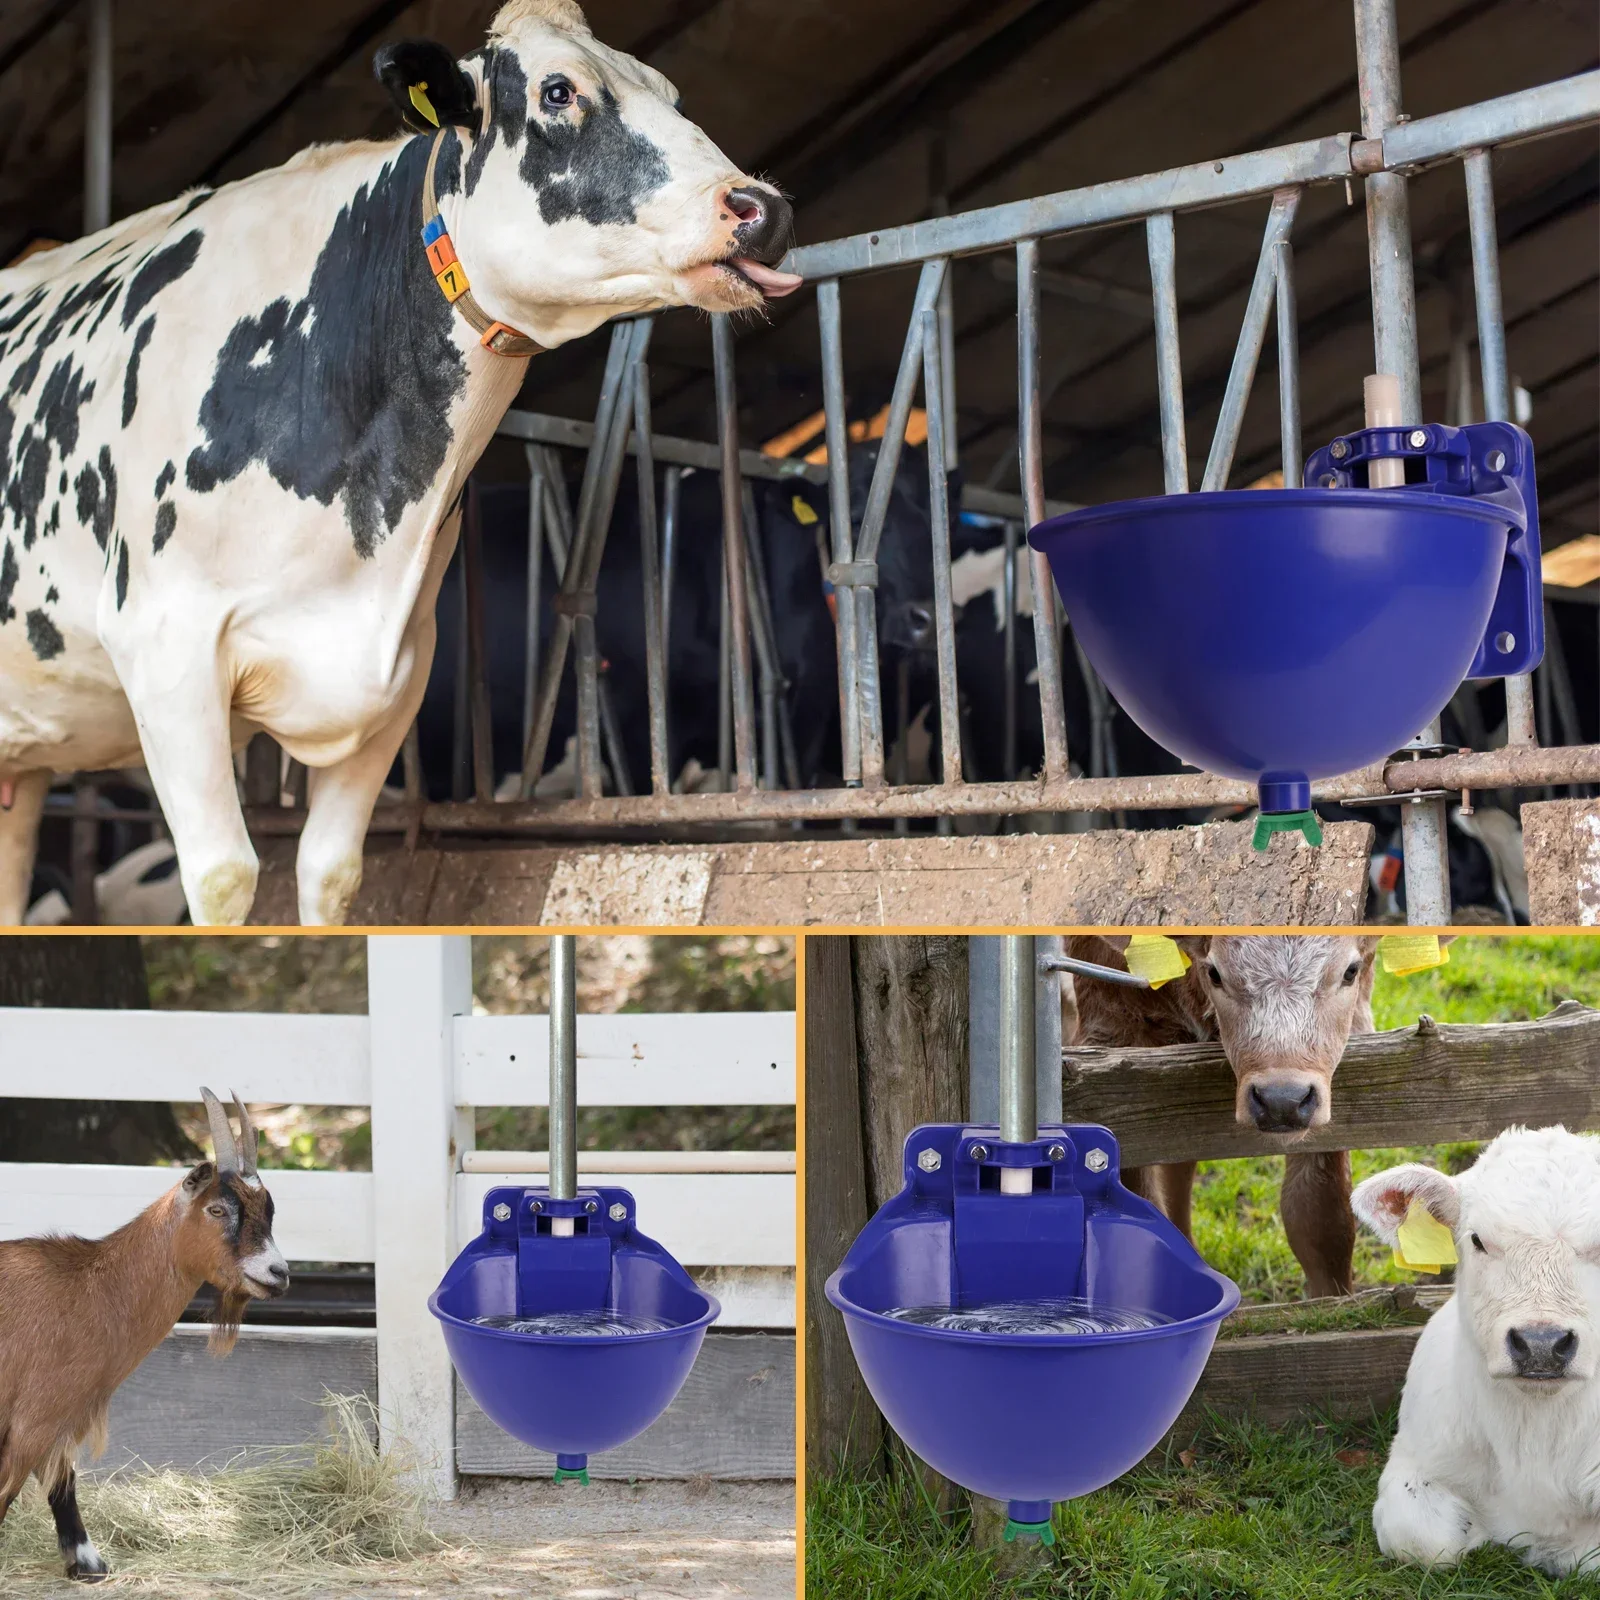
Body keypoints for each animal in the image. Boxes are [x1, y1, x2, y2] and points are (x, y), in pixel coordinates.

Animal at [0, 1088, 288, 1583]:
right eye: (216, 1209)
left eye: (269, 1211)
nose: (278, 1272)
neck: (92, 1288)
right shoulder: (34, 1415)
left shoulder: (57, 1416)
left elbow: (61, 1481)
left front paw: (87, 1563)